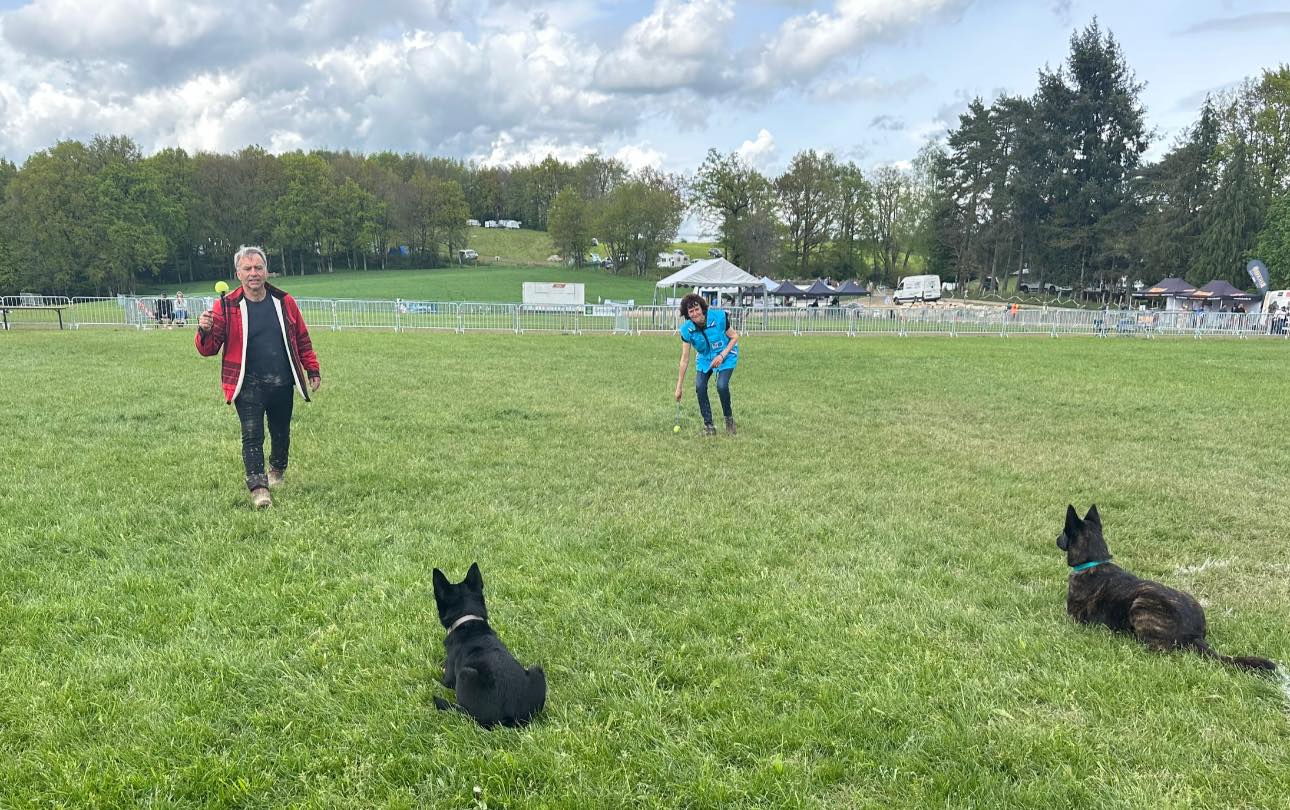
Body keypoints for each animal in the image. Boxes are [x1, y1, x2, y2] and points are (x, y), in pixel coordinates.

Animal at [1056, 504, 1275, 672]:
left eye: (1064, 532)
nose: (1056, 538)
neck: (1093, 561)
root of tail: (1194, 635)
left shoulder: (1072, 619)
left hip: (1140, 604)